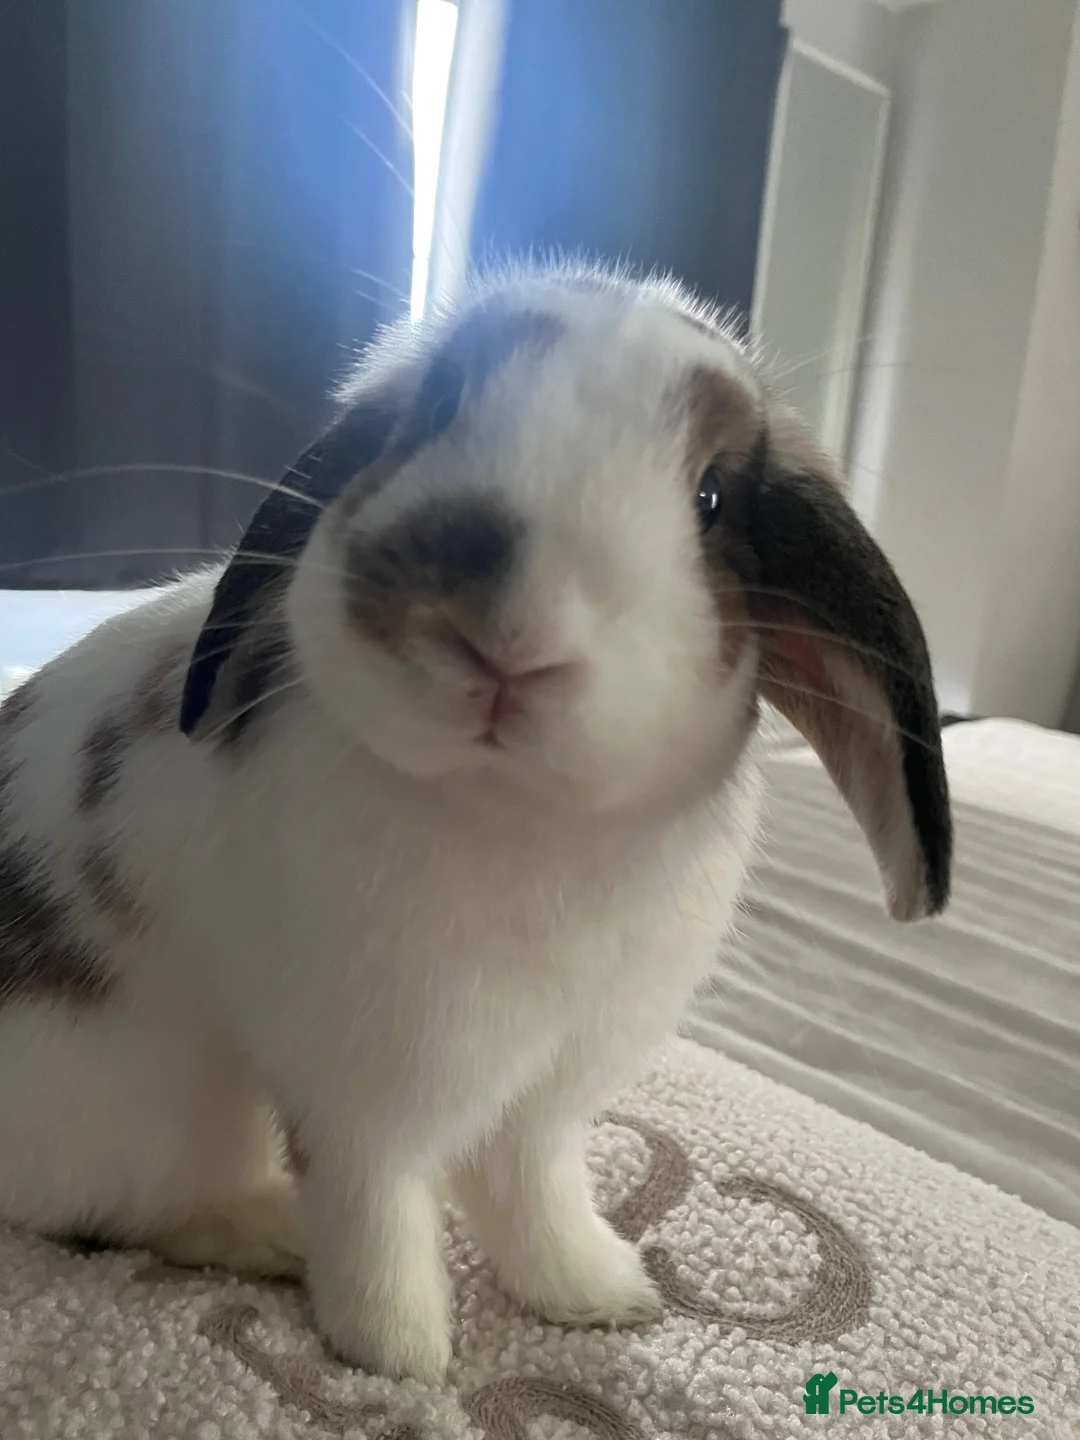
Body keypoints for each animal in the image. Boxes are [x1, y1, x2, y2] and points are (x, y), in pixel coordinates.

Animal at [0, 261, 951, 1383]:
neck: (519, 817)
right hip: (145, 1107)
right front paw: (398, 1356)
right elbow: (377, 1213)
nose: (509, 636)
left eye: (712, 496)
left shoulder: (549, 1092)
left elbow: (534, 1192)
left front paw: (599, 1295)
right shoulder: (363, 1095)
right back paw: (270, 1232)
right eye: (438, 408)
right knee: (117, 1213)